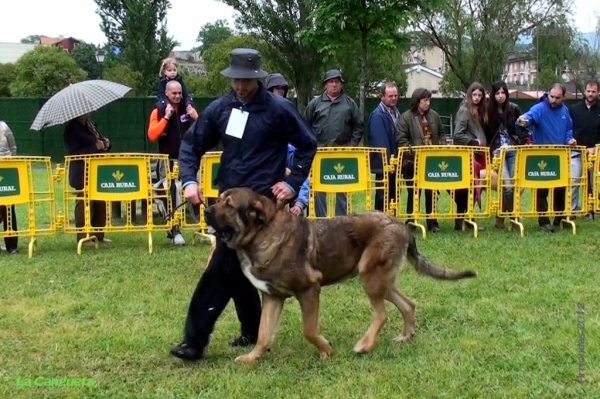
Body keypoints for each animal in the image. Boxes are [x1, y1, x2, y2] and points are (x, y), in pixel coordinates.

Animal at [204, 186, 476, 364]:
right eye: (220, 200)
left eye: (229, 205)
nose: (206, 211)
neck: (261, 234)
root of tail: (401, 225)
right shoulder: (272, 297)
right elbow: (263, 334)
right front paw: (252, 357)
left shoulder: (310, 289)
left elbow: (309, 329)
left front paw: (326, 351)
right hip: (382, 280)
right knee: (408, 305)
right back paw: (404, 337)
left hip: (370, 276)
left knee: (382, 315)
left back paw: (364, 346)